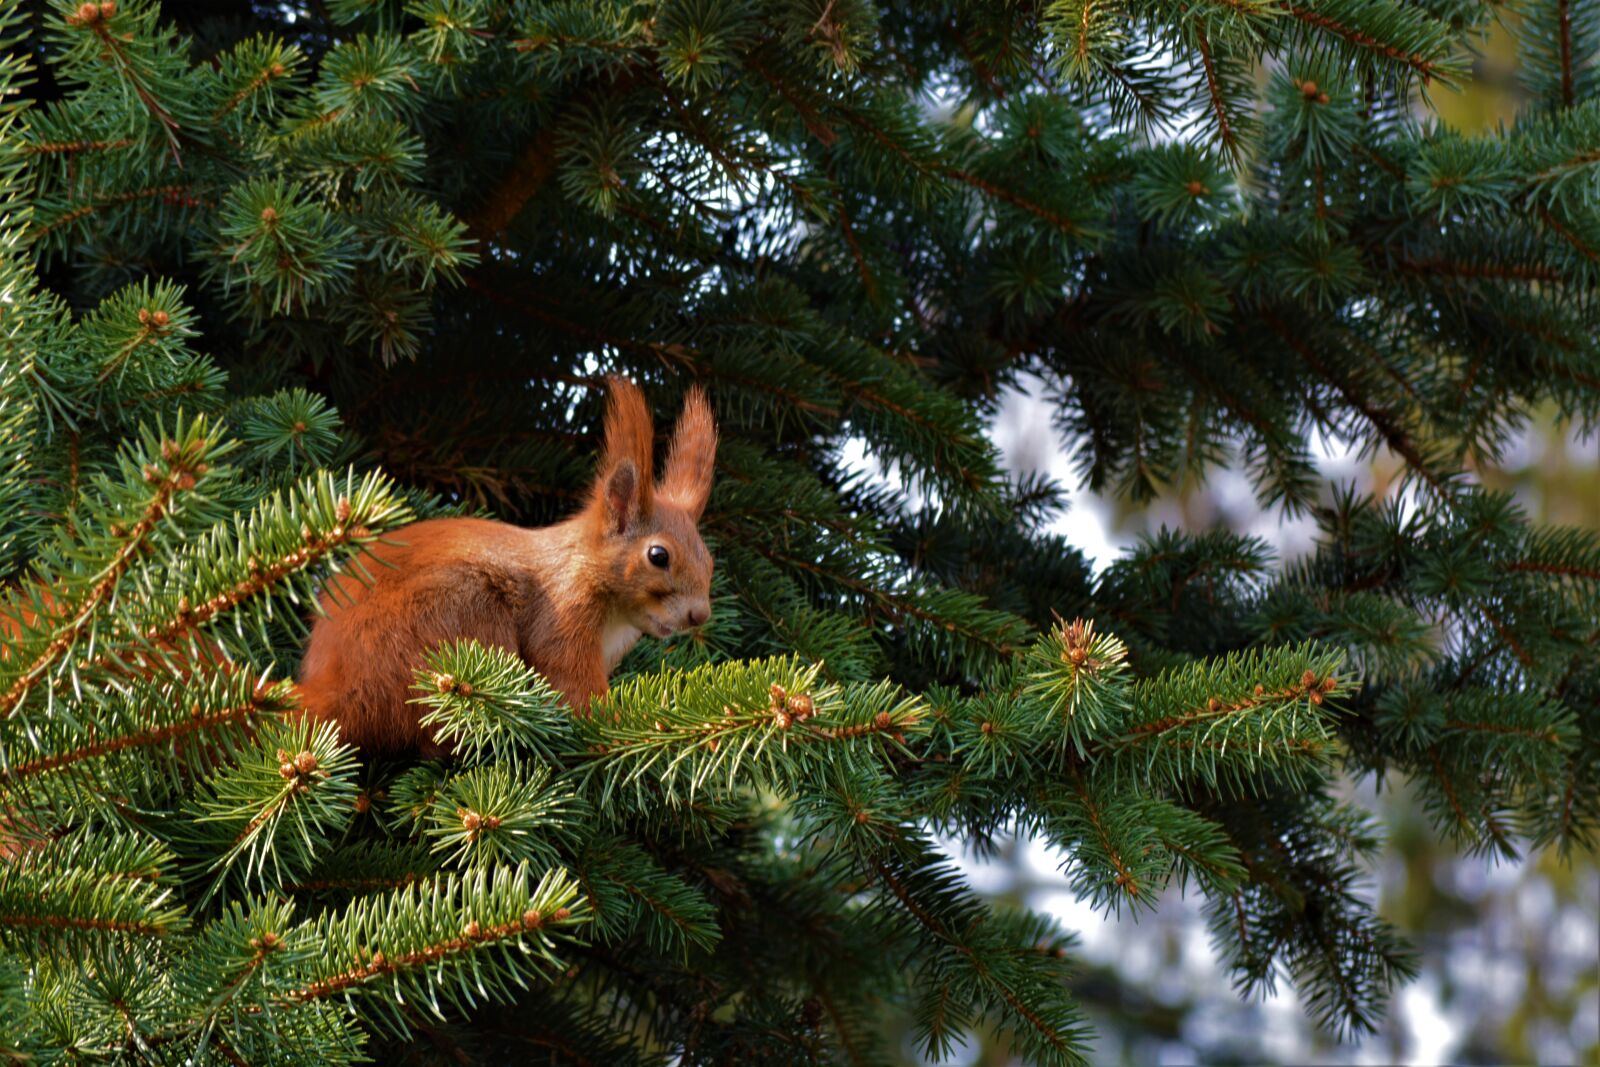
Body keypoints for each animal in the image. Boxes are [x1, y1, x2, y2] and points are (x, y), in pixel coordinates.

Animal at [295, 377, 717, 755]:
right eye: (658, 556)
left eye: (710, 560)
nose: (700, 615)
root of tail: (343, 689)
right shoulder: (563, 616)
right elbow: (573, 687)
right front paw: (615, 725)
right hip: (461, 616)